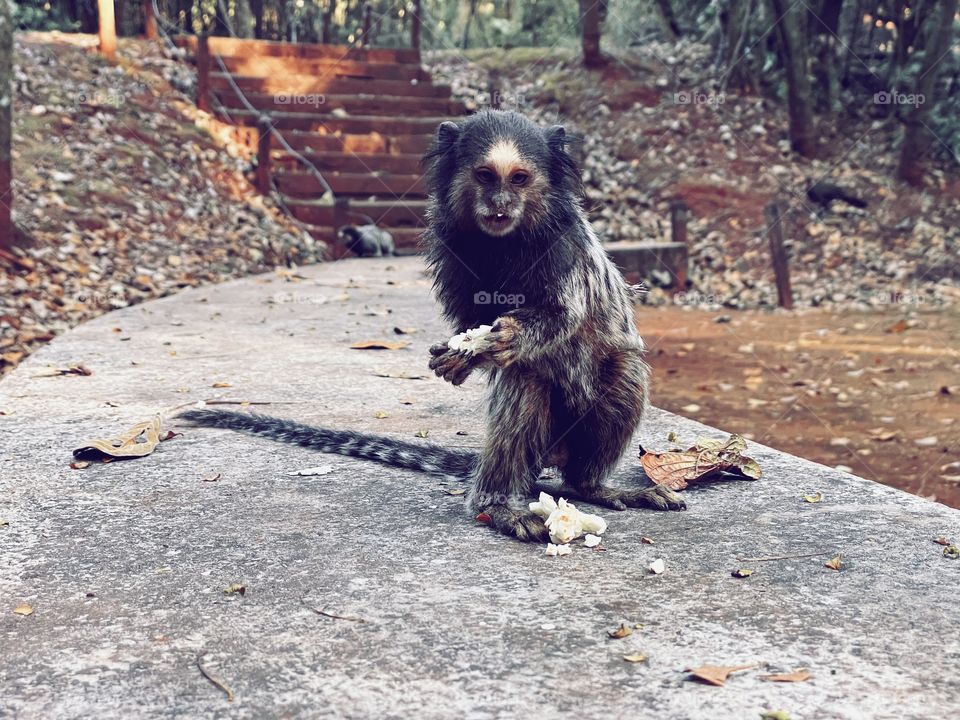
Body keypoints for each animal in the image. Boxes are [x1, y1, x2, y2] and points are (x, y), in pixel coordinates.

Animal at [180, 109, 685, 542]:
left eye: (519, 179)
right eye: (485, 176)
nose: (501, 204)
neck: (505, 242)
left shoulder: (563, 247)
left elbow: (564, 315)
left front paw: (509, 337)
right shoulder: (450, 246)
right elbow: (472, 322)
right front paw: (462, 356)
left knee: (622, 375)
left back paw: (591, 485)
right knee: (523, 382)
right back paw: (497, 504)